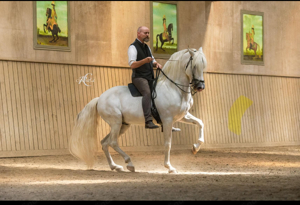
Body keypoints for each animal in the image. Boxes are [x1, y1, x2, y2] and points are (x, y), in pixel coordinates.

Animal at [69, 46, 207, 173]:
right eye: (194, 66)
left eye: (204, 66)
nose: (200, 87)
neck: (173, 88)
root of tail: (100, 98)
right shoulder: (167, 120)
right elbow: (168, 144)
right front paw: (170, 167)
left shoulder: (183, 116)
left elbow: (200, 123)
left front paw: (195, 148)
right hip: (116, 122)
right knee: (113, 142)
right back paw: (129, 163)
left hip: (123, 125)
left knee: (104, 143)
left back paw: (115, 166)